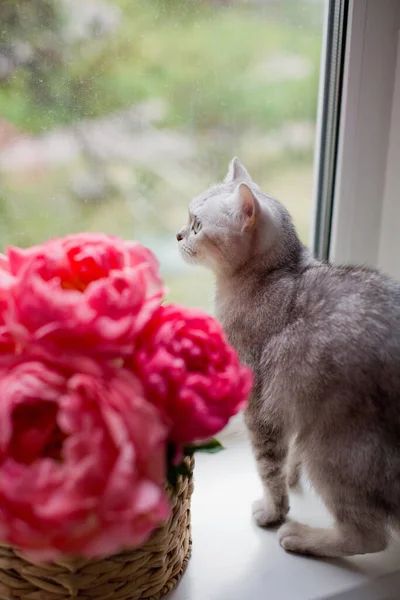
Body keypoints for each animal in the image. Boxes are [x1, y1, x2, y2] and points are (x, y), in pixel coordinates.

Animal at [178, 157, 400, 556]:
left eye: (197, 225)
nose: (177, 235)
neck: (276, 274)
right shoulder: (290, 405)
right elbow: (286, 461)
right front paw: (292, 480)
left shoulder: (261, 408)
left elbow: (269, 469)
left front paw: (273, 511)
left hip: (330, 449)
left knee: (369, 538)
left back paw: (302, 537)